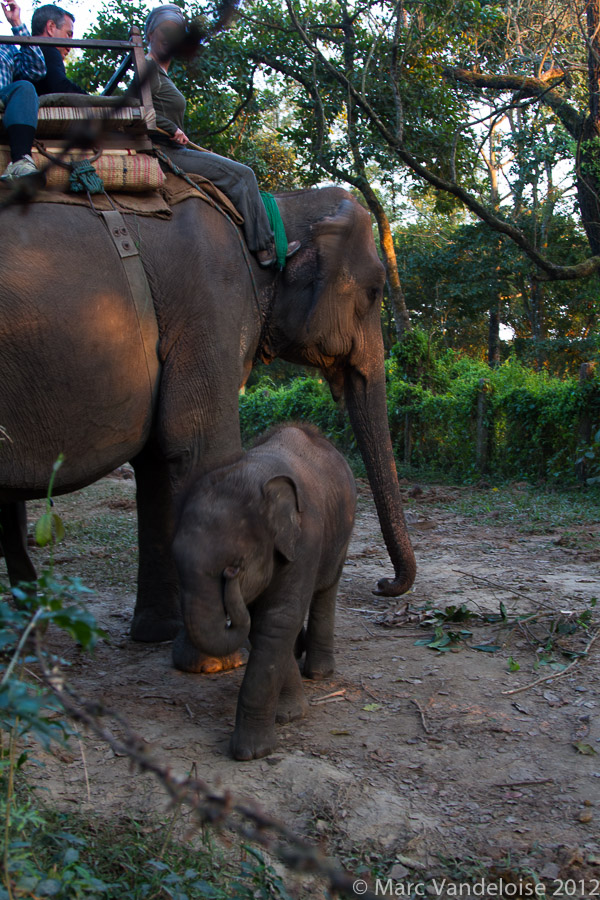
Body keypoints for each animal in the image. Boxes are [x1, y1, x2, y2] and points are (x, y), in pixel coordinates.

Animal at [0, 183, 414, 640]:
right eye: (374, 292)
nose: (384, 585)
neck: (279, 211)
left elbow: (156, 460)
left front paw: (157, 634)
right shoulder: (213, 302)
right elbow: (200, 446)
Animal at [171, 424, 356, 760]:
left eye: (235, 565)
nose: (232, 578)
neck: (250, 476)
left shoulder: (306, 538)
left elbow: (277, 620)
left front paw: (252, 752)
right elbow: (262, 626)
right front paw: (287, 715)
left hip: (343, 528)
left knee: (326, 588)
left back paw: (320, 674)